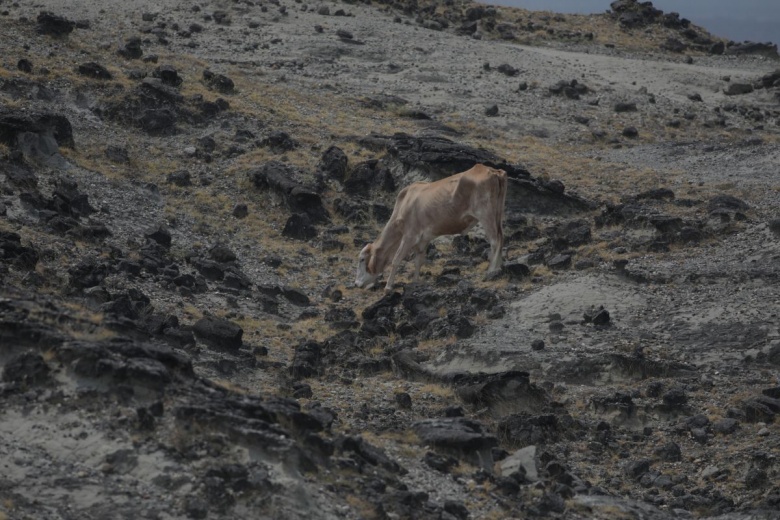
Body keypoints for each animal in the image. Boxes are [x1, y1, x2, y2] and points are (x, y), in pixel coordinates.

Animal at [356, 164, 508, 292]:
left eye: (362, 259)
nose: (357, 283)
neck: (404, 203)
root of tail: (493, 170)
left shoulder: (410, 236)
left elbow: (397, 259)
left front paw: (388, 287)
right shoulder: (423, 239)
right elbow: (418, 261)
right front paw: (415, 282)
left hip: (485, 214)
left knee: (495, 241)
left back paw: (491, 270)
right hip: (498, 214)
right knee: (501, 238)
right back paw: (499, 268)